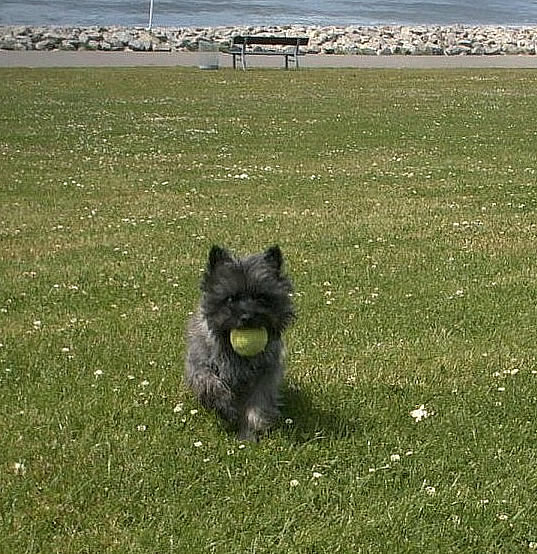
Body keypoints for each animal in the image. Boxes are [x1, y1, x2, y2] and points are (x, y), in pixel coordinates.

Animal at [183, 246, 294, 440]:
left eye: (261, 298)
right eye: (230, 298)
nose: (247, 316)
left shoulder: (265, 374)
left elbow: (258, 402)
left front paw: (250, 432)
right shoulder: (199, 366)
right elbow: (211, 383)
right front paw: (226, 407)